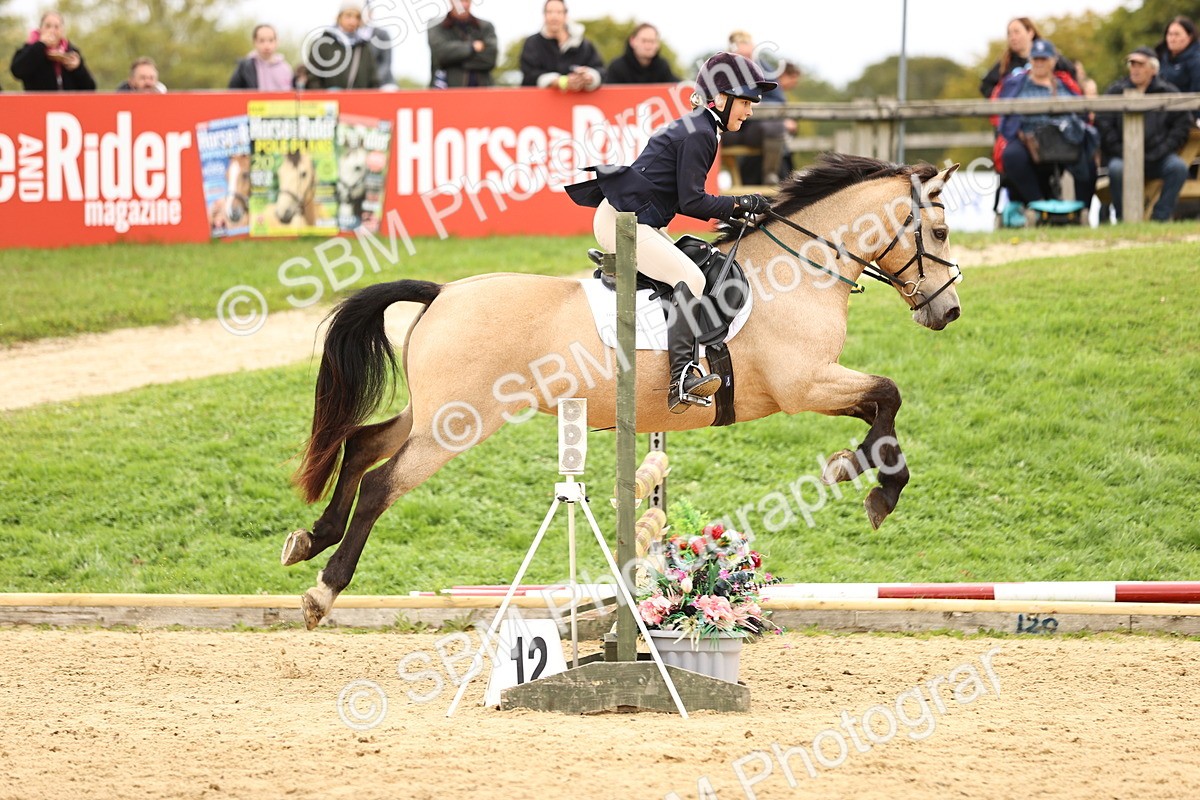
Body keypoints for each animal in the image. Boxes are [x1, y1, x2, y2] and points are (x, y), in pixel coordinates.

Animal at [282, 153, 964, 629]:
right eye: (940, 231)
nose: (949, 311)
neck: (798, 269)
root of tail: (444, 292)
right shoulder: (805, 382)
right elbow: (888, 395)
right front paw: (871, 482)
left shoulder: (813, 382)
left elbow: (882, 402)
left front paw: (861, 470)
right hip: (459, 423)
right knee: (380, 484)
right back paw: (323, 589)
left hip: (434, 415)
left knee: (363, 444)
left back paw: (309, 538)